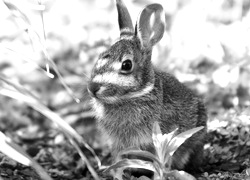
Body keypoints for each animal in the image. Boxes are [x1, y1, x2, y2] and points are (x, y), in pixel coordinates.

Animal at [88, 0, 207, 172]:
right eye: (99, 57)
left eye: (126, 65)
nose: (92, 88)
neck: (135, 95)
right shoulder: (117, 144)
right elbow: (119, 160)